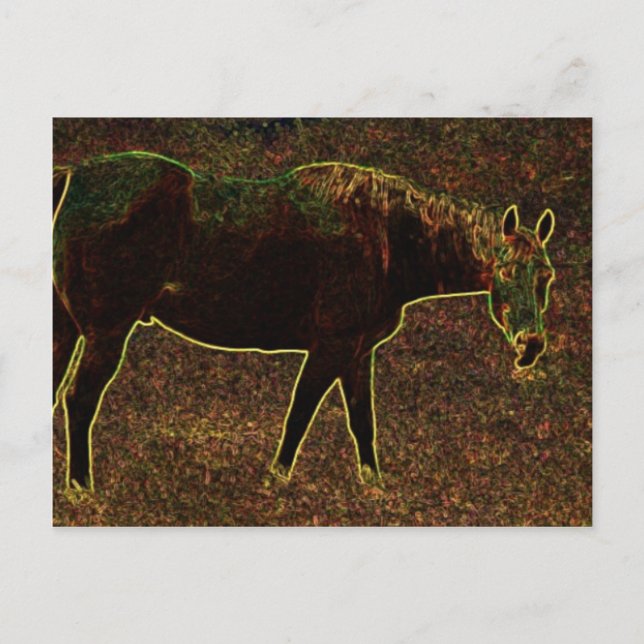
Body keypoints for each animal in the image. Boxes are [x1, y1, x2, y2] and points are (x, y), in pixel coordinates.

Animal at [52, 151, 556, 491]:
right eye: (506, 271)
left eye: (547, 276)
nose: (530, 344)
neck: (385, 234)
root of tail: (74, 177)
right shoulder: (332, 346)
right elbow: (300, 414)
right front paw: (275, 481)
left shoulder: (357, 353)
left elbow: (362, 421)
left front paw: (374, 486)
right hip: (106, 332)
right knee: (80, 399)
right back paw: (82, 488)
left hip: (66, 328)